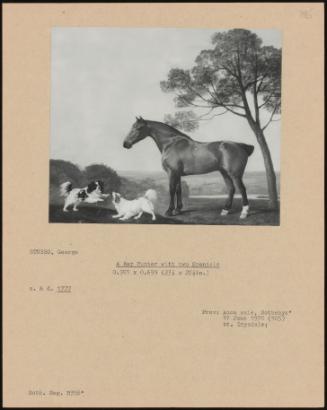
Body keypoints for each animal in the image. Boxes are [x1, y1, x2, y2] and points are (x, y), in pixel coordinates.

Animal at [124, 116, 255, 218]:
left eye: (139, 128)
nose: (125, 144)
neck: (171, 143)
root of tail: (241, 146)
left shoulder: (172, 172)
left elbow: (171, 190)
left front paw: (169, 211)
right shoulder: (177, 174)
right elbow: (178, 190)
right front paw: (178, 210)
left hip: (235, 174)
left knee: (242, 189)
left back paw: (244, 213)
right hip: (224, 173)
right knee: (231, 189)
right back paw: (225, 211)